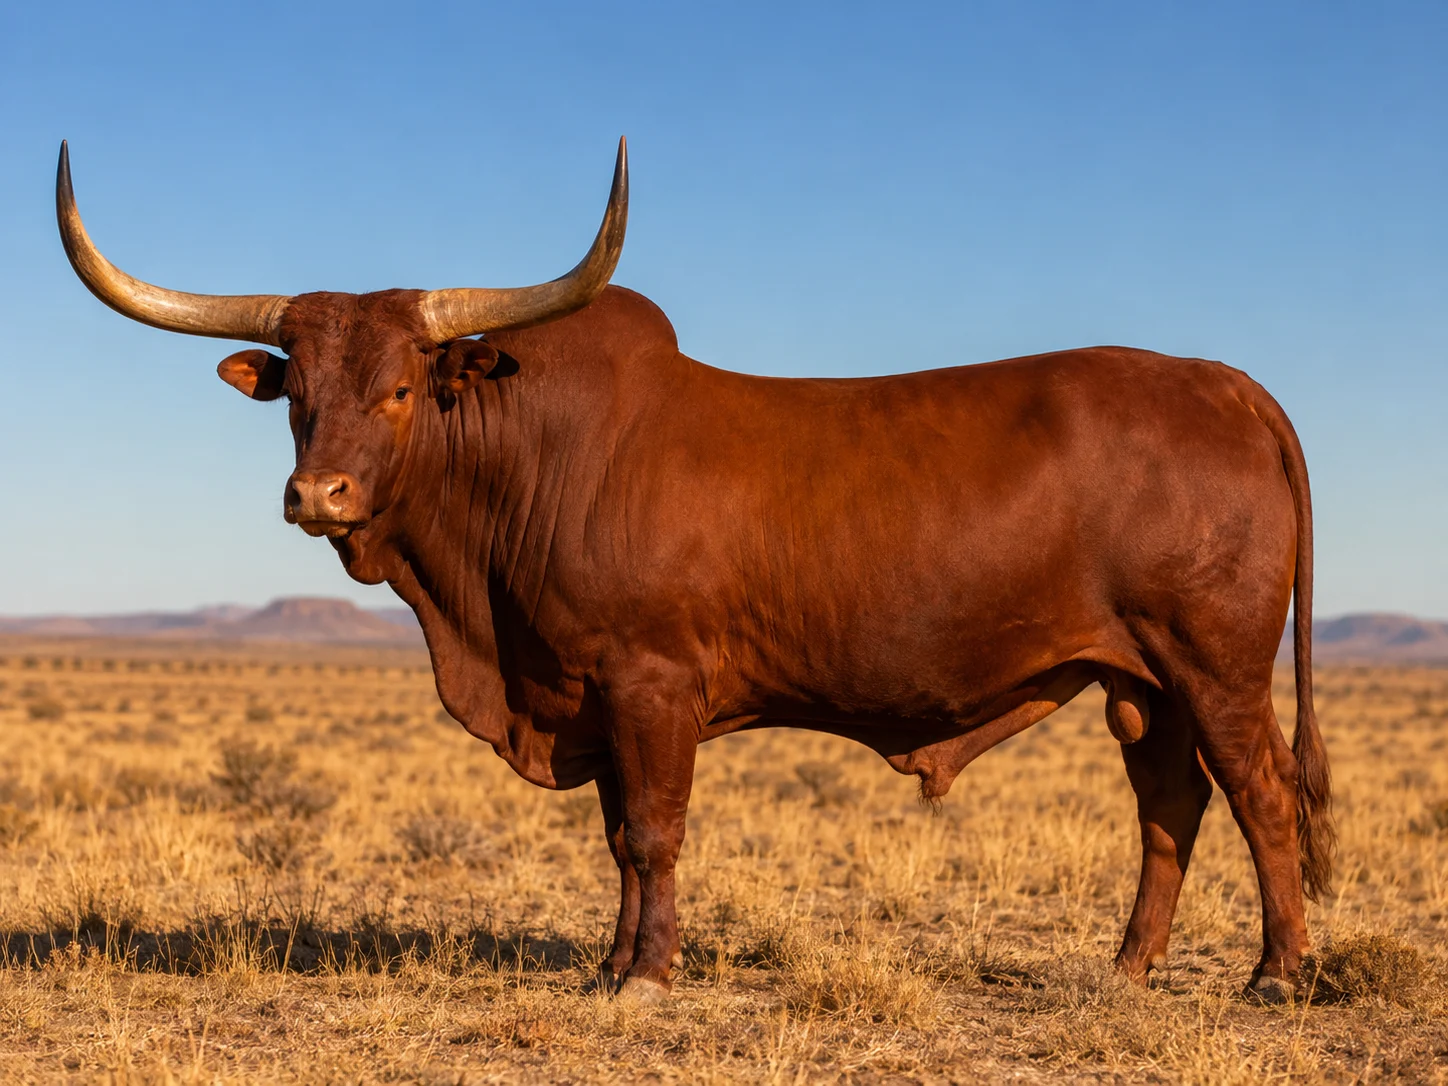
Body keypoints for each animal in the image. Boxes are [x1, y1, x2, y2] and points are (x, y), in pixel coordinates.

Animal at [56, 139, 1332, 1005]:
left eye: (402, 387)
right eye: (299, 395)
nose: (315, 495)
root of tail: (1222, 383)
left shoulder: (651, 684)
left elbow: (653, 833)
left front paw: (647, 975)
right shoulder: (586, 691)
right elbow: (619, 837)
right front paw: (613, 962)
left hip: (1214, 664)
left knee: (1259, 794)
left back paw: (1275, 973)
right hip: (1140, 681)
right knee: (1169, 806)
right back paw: (1127, 968)